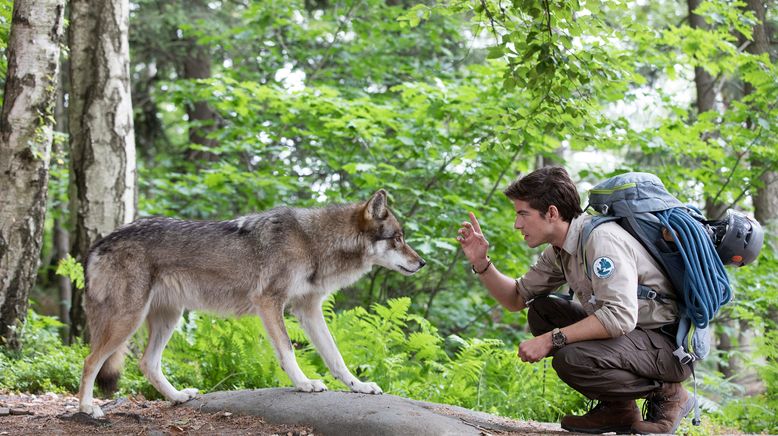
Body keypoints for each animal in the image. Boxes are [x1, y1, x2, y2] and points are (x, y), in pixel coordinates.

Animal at [79, 189, 424, 418]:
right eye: (397, 239)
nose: (421, 263)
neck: (314, 242)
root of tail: (100, 242)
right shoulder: (270, 303)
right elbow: (287, 351)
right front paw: (304, 383)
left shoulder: (308, 309)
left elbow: (335, 357)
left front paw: (359, 386)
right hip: (128, 320)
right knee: (90, 361)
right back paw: (86, 408)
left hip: (168, 318)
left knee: (147, 364)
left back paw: (177, 397)